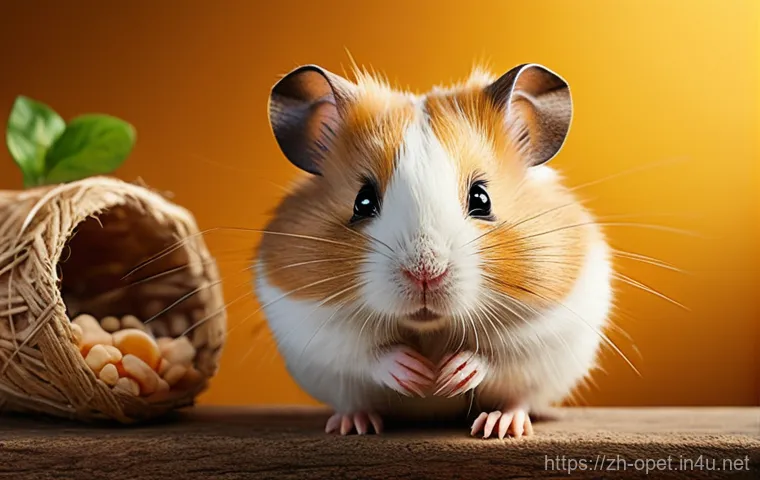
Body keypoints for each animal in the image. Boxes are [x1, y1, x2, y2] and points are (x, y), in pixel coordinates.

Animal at [254, 62, 612, 439]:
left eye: (481, 198)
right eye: (362, 202)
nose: (424, 273)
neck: (430, 329)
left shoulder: (547, 326)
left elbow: (496, 355)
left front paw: (450, 375)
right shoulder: (312, 327)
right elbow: (367, 353)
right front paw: (418, 375)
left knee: (517, 399)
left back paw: (500, 426)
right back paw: (353, 424)